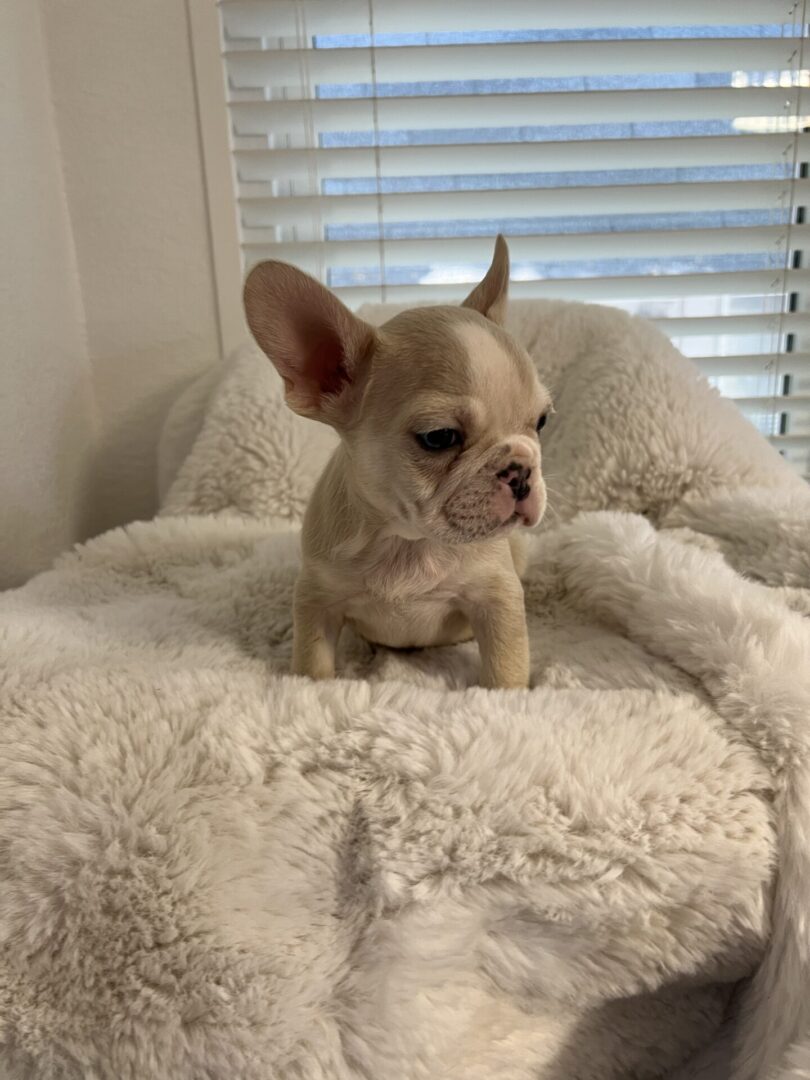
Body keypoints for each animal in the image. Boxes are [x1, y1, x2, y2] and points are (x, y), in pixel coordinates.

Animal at [244, 237, 557, 691]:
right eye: (439, 437)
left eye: (542, 422)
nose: (521, 471)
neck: (407, 542)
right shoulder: (317, 599)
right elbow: (314, 658)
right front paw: (309, 686)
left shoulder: (497, 597)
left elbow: (506, 662)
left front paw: (507, 697)